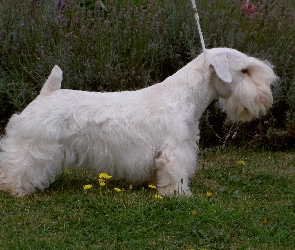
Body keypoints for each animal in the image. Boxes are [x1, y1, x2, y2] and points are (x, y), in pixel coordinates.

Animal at [0, 47, 278, 196]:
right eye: (244, 70)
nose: (267, 94)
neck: (183, 96)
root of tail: (47, 93)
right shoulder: (175, 151)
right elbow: (176, 173)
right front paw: (178, 195)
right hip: (35, 146)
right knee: (17, 167)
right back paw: (14, 189)